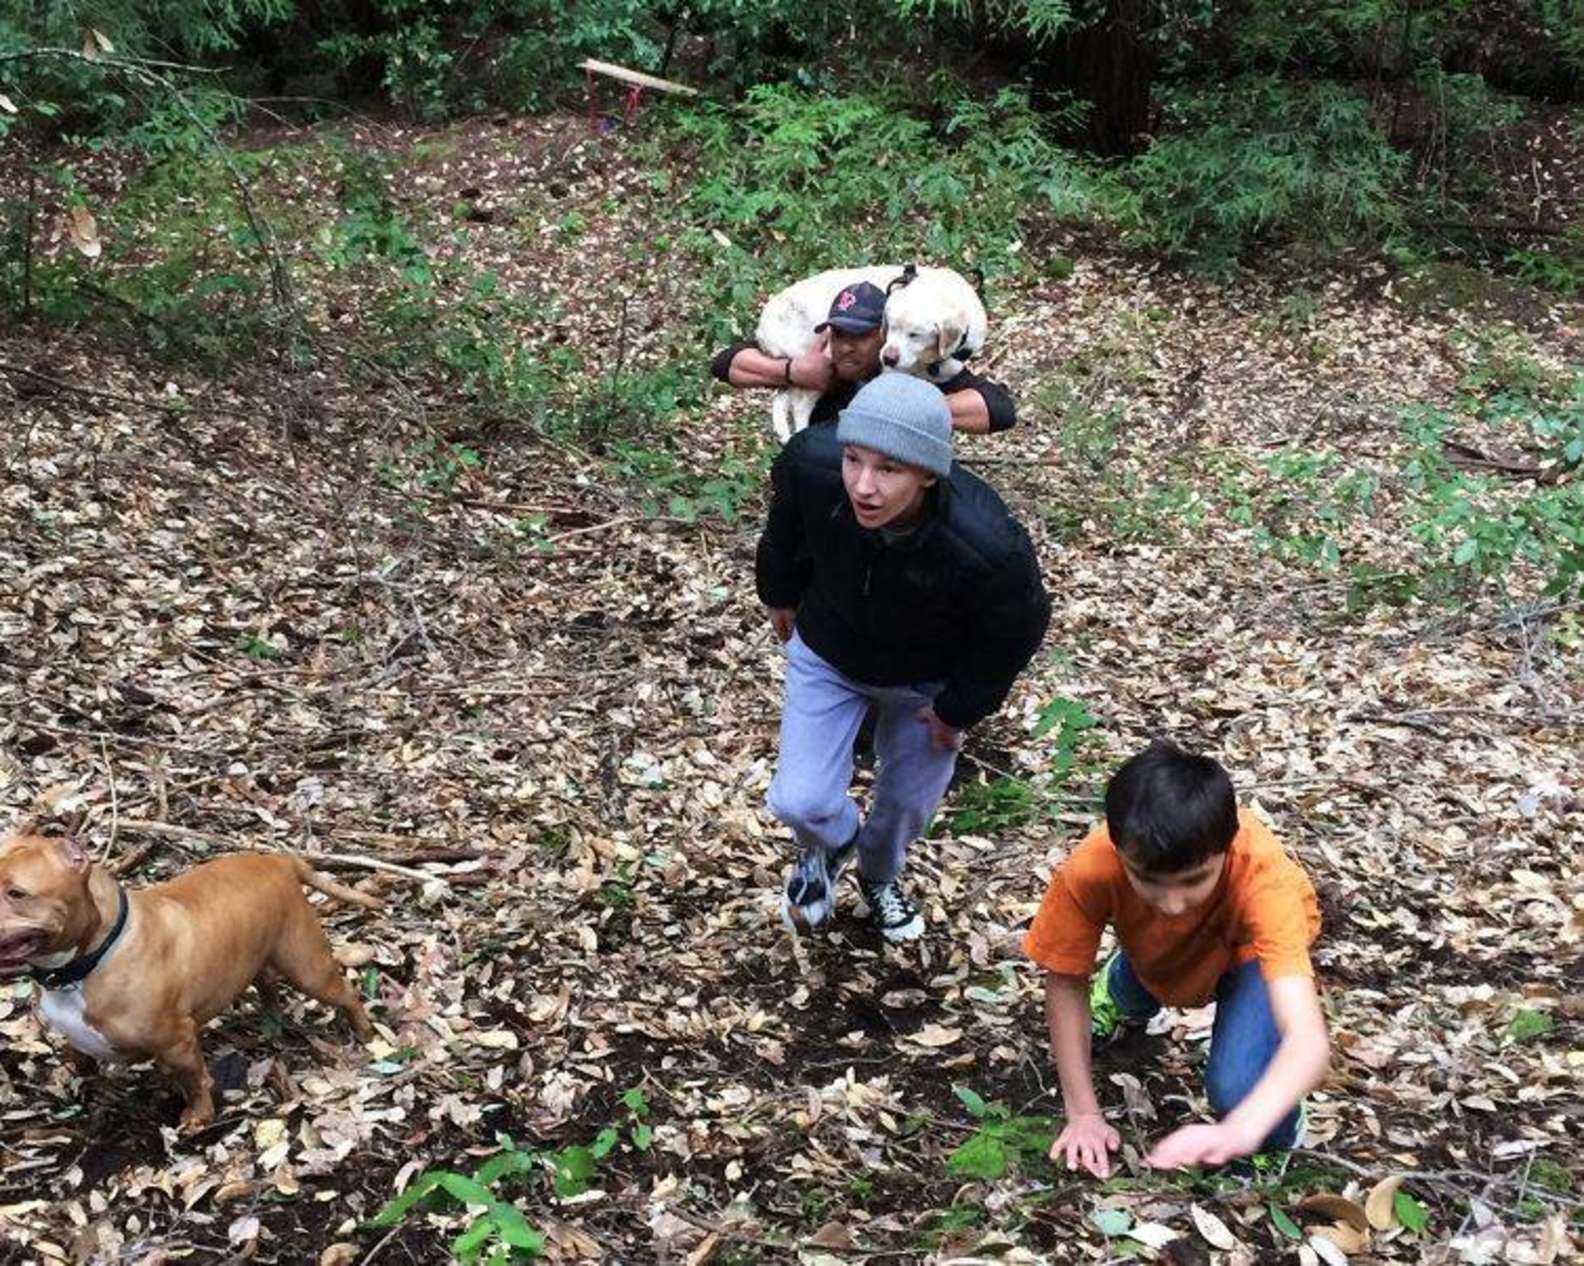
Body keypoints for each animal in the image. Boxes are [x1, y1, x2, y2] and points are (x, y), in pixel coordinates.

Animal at [0, 836, 376, 1134]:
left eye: (17, 893)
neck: (89, 961)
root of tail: (279, 860)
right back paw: (271, 1023)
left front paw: (199, 1115)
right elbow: (81, 1061)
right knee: (267, 982)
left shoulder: (177, 1042)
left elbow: (195, 1080)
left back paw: (365, 1033)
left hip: (307, 967)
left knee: (346, 993)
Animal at [753, 264, 988, 443]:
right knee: (799, 406)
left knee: (782, 398)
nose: (887, 358)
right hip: (816, 369)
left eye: (915, 334)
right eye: (890, 327)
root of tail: (763, 326)